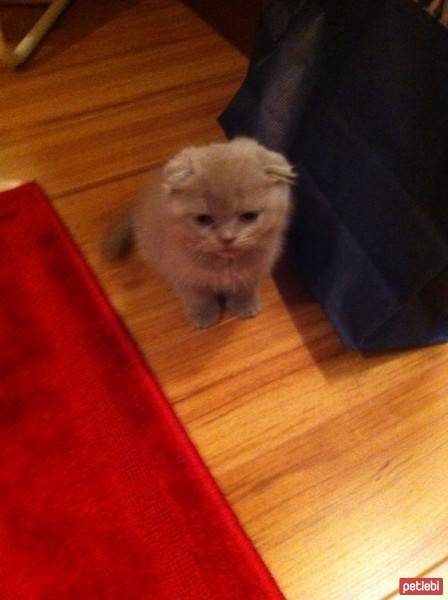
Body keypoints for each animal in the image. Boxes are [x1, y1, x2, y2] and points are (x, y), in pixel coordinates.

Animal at [106, 137, 296, 328]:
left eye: (249, 216)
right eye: (203, 219)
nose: (227, 238)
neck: (225, 264)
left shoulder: (254, 271)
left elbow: (244, 288)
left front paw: (244, 305)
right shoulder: (183, 274)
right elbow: (199, 298)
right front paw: (204, 315)